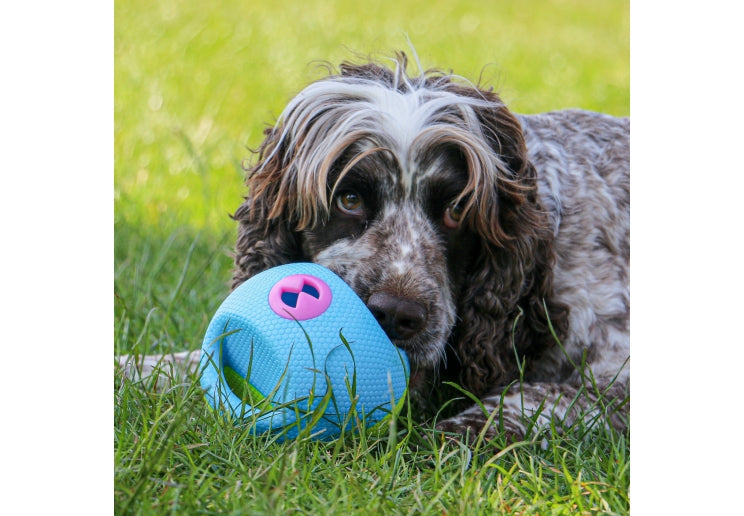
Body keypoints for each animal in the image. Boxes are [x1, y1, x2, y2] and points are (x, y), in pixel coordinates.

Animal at [120, 54, 628, 446]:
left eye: (456, 212)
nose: (397, 315)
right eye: (349, 199)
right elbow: (193, 360)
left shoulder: (616, 375)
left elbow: (542, 397)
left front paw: (457, 435)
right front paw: (133, 368)